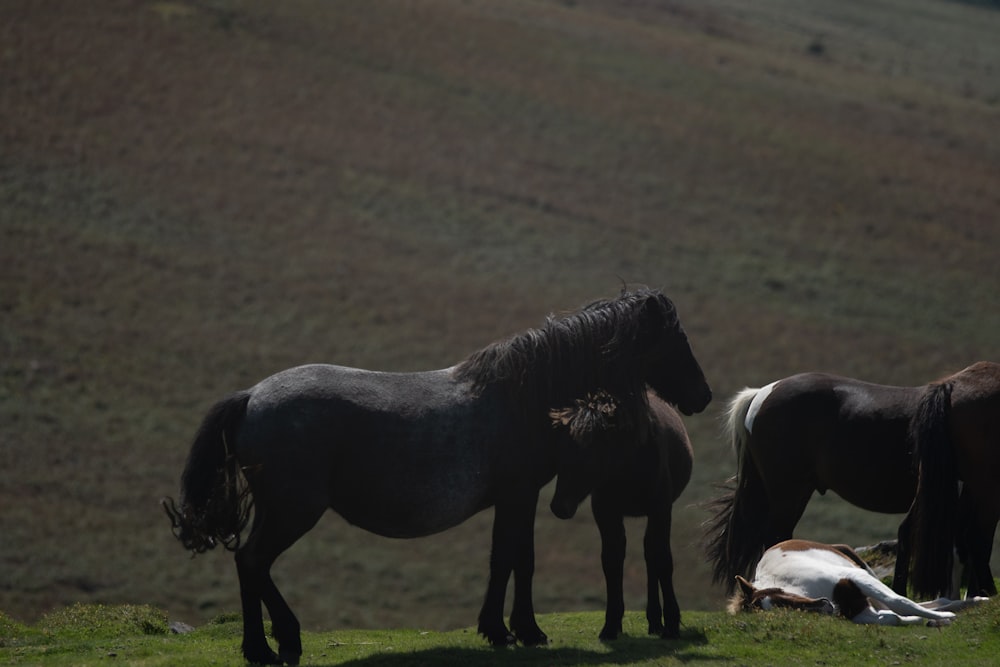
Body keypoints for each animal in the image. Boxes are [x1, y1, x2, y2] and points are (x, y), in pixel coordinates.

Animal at [548, 392, 696, 640]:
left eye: (586, 454)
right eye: (559, 453)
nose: (559, 506)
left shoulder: (661, 508)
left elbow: (663, 559)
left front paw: (672, 623)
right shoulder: (606, 512)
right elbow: (612, 560)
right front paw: (611, 624)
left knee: (652, 554)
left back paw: (657, 621)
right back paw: (653, 620)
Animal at [728, 536, 984, 628]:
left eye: (781, 597)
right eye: (785, 613)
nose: (826, 606)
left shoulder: (858, 577)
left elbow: (900, 602)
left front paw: (947, 617)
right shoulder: (861, 612)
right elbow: (892, 617)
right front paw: (923, 620)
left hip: (865, 571)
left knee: (903, 599)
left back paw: (971, 602)